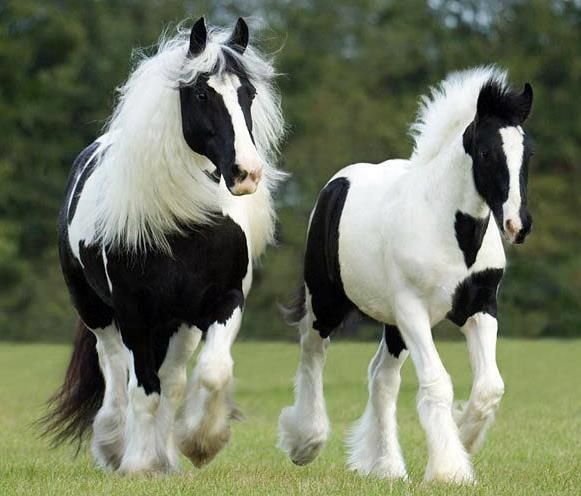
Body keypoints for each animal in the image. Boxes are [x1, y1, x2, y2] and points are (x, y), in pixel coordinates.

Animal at [42, 17, 284, 474]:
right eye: (203, 93)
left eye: (249, 93)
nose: (245, 173)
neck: (186, 225)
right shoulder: (134, 310)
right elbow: (143, 388)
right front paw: (138, 465)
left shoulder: (222, 301)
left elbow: (210, 373)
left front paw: (200, 442)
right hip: (98, 311)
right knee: (116, 371)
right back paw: (116, 446)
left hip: (178, 322)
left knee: (171, 379)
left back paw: (166, 457)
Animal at [278, 65, 532, 480]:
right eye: (486, 152)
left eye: (527, 155)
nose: (517, 225)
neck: (452, 233)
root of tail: (336, 184)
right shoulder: (413, 310)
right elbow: (438, 383)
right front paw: (449, 469)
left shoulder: (480, 307)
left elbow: (489, 386)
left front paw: (464, 437)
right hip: (327, 302)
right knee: (312, 353)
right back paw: (306, 443)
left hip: (392, 323)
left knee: (381, 378)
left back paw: (388, 467)